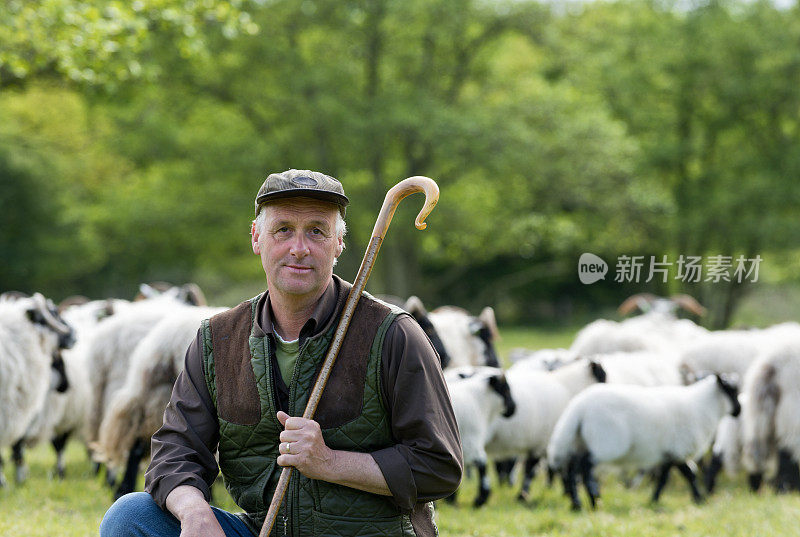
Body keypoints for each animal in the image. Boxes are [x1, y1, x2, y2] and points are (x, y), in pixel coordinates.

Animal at [440, 366, 516, 504]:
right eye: (506, 389)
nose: (513, 408)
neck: (480, 401)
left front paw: (451, 499)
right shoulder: (472, 441)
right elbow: (481, 464)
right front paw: (481, 498)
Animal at [548, 370, 740, 508]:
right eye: (733, 390)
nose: (739, 411)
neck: (703, 407)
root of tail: (579, 407)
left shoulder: (669, 453)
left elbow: (674, 476)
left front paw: (656, 499)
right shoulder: (677, 450)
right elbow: (686, 475)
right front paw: (698, 499)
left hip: (580, 441)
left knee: (572, 467)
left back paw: (577, 504)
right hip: (605, 444)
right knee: (585, 465)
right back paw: (594, 500)